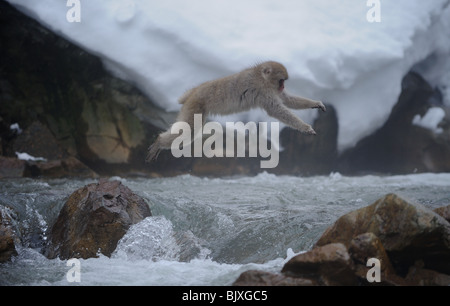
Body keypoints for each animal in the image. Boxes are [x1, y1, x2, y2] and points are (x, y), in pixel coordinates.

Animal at [146, 60, 326, 163]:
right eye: (281, 80)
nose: (282, 87)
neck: (261, 77)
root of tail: (194, 92)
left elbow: (287, 100)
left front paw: (316, 104)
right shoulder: (263, 91)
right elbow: (277, 110)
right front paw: (305, 128)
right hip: (195, 106)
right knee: (189, 130)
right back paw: (159, 142)